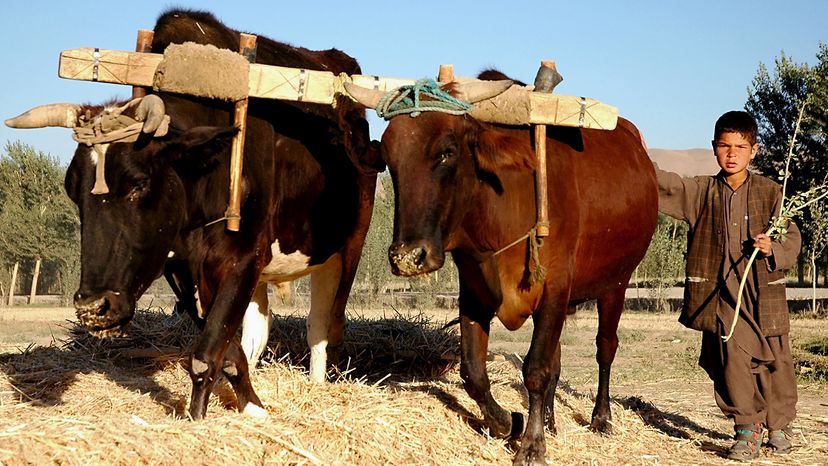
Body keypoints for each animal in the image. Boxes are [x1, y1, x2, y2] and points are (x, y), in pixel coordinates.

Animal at [5, 9, 381, 420]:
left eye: (139, 184)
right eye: (72, 191)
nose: (93, 308)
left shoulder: (244, 257)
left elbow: (206, 354)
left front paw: (198, 418)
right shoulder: (183, 271)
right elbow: (227, 352)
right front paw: (250, 407)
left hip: (347, 246)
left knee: (324, 326)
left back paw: (318, 385)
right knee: (260, 328)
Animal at [345, 75, 657, 465]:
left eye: (447, 151)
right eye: (389, 159)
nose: (408, 256)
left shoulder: (554, 289)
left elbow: (536, 369)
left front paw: (533, 445)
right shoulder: (474, 293)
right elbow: (474, 372)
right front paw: (509, 422)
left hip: (617, 283)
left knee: (605, 348)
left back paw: (601, 418)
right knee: (557, 359)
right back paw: (551, 420)